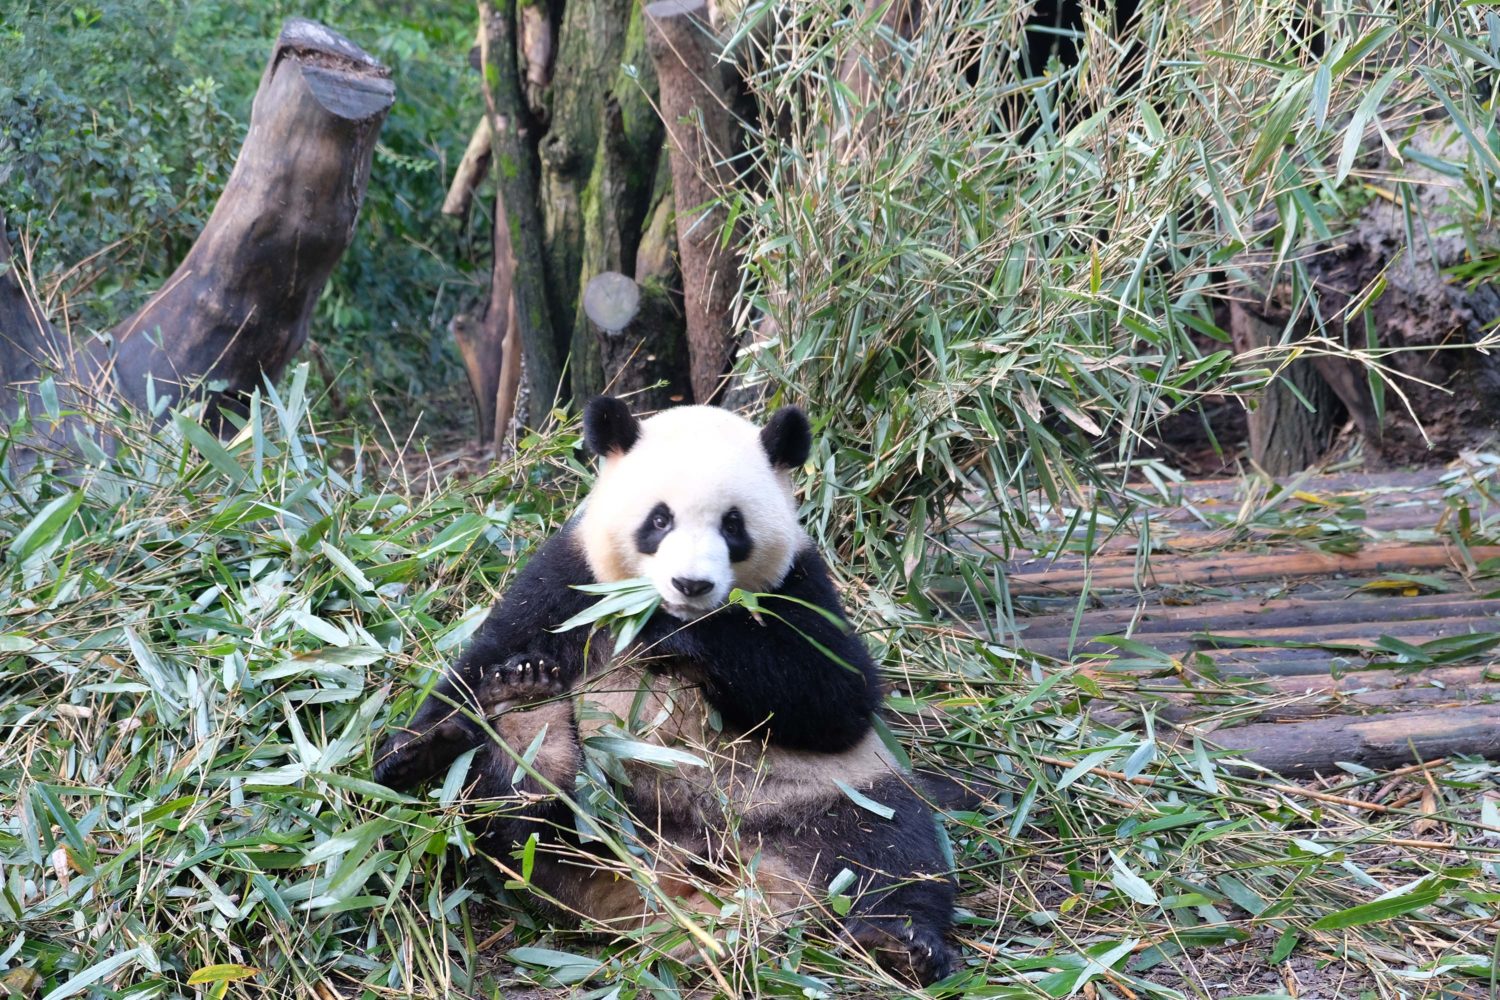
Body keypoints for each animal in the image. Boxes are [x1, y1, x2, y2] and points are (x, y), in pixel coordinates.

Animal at [375, 395, 960, 983]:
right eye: (659, 520)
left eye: (732, 525)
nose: (690, 585)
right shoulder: (569, 578)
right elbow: (488, 655)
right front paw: (411, 750)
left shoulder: (801, 584)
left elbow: (840, 698)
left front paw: (678, 635)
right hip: (602, 808)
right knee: (521, 823)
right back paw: (528, 717)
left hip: (827, 795)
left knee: (897, 848)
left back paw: (899, 944)